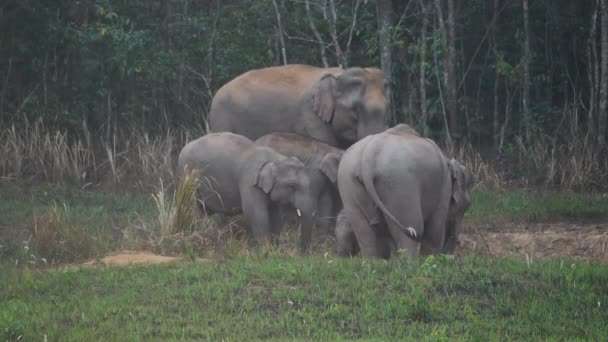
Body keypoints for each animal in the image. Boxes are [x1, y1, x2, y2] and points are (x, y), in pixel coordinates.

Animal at [177, 132, 332, 252]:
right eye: (292, 186)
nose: (303, 253)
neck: (275, 158)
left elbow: (275, 214)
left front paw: (276, 248)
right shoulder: (248, 180)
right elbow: (256, 212)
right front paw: (266, 251)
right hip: (187, 176)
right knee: (194, 206)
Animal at [338, 124, 476, 258]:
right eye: (467, 205)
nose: (449, 256)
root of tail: (369, 155)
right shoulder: (444, 187)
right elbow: (434, 231)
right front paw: (431, 259)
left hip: (348, 185)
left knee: (365, 235)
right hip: (401, 185)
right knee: (412, 230)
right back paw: (409, 263)